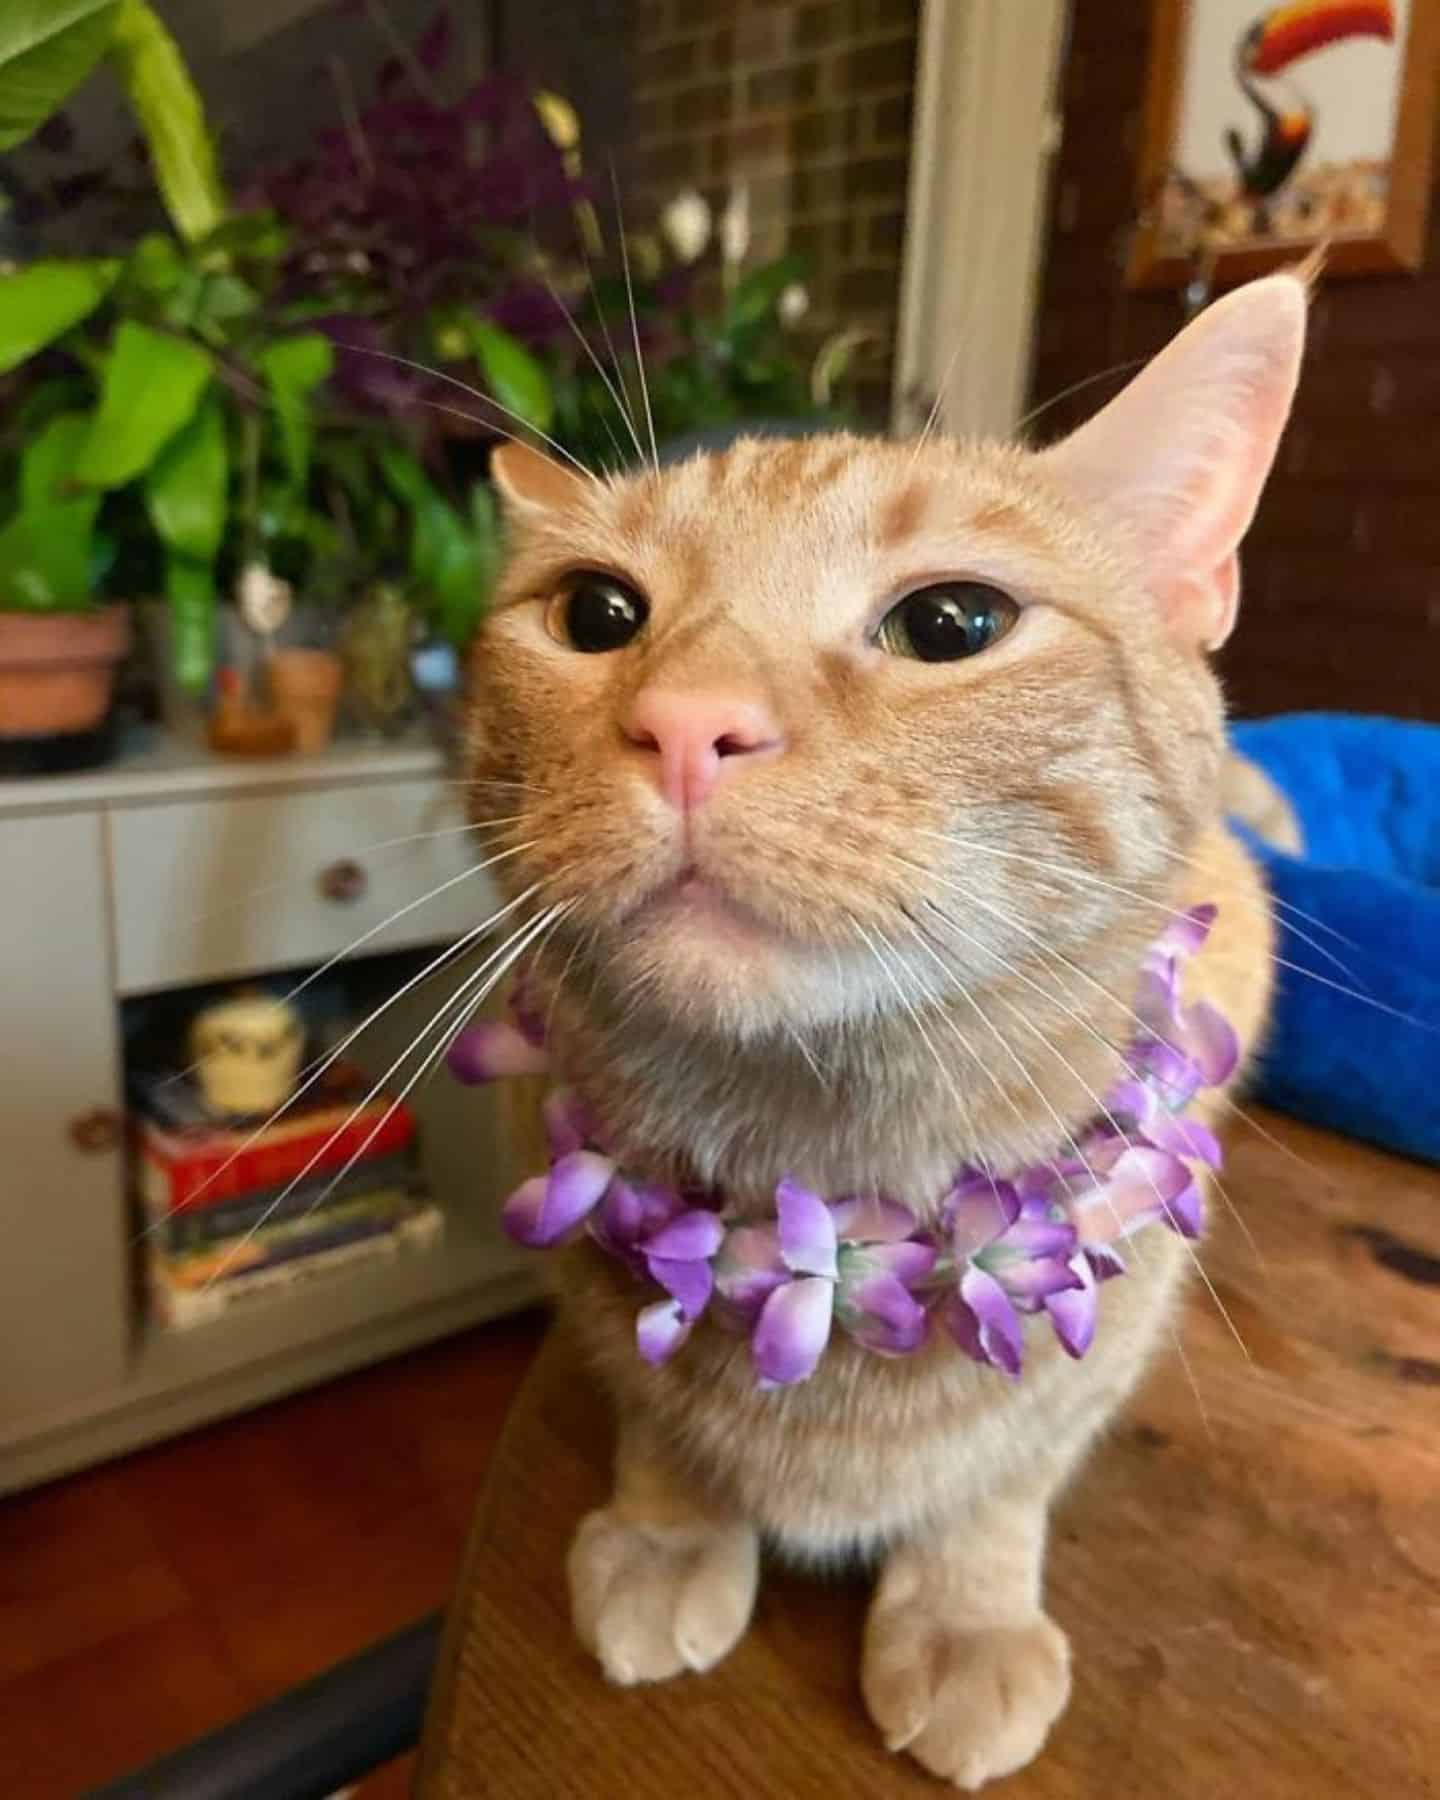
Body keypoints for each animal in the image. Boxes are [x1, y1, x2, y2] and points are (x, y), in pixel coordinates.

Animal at [464, 270, 1303, 1785]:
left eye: (953, 624)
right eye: (598, 612)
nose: (689, 725)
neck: (829, 1160)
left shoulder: (1115, 1324)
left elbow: (1009, 1467)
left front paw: (965, 1616)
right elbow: (650, 1403)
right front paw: (671, 1526)